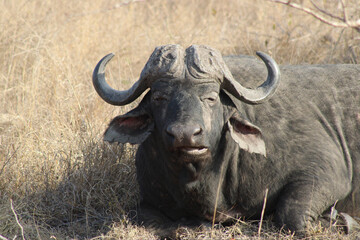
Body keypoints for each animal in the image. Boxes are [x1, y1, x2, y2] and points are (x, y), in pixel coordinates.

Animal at [91, 44, 358, 235]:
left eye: (210, 97)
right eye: (159, 97)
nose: (185, 134)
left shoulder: (327, 174)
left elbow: (292, 216)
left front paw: (342, 220)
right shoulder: (148, 201)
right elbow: (150, 220)